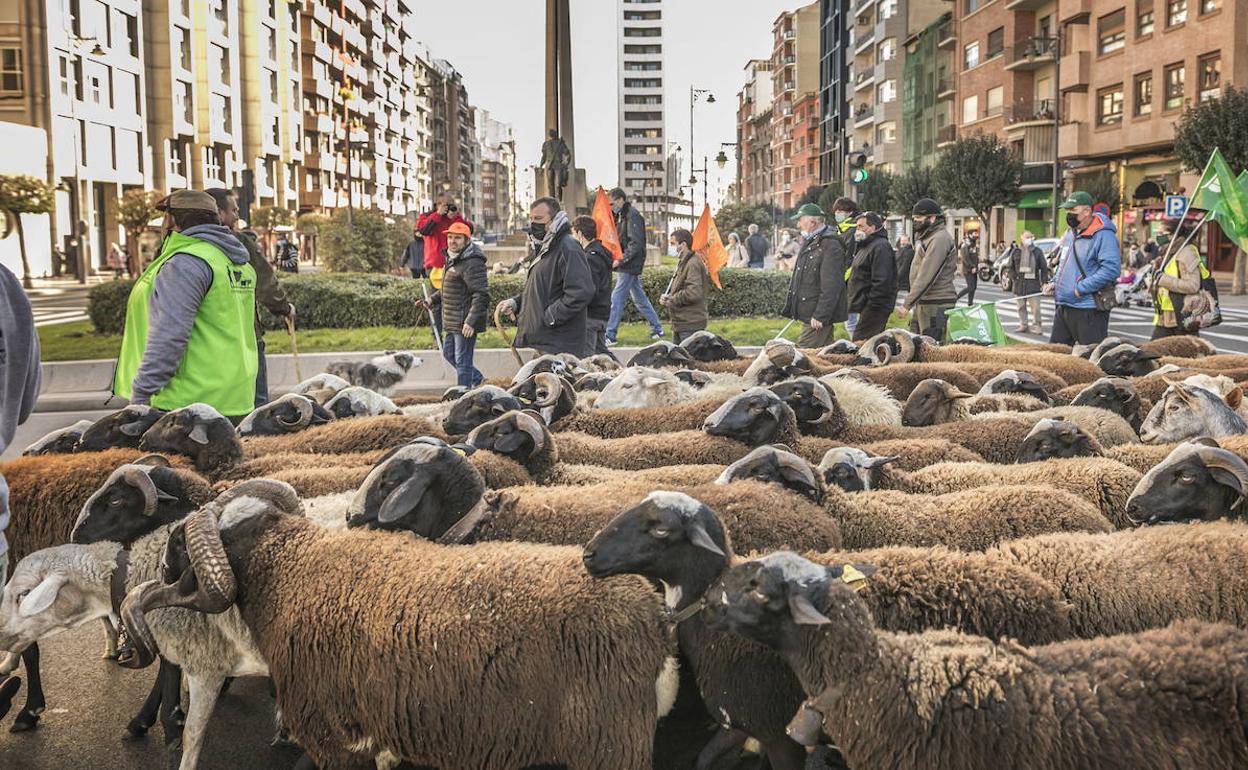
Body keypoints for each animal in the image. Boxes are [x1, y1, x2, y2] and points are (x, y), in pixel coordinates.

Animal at [119, 476, 683, 768]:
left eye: (178, 547)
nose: (156, 572)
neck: (288, 566)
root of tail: (651, 617)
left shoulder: (327, 733)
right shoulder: (381, 726)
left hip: (606, 746)